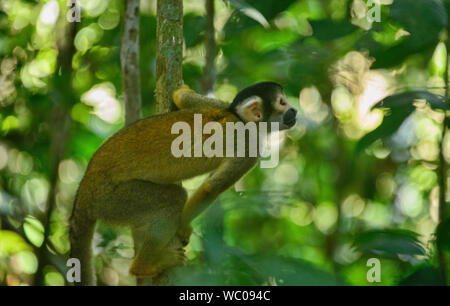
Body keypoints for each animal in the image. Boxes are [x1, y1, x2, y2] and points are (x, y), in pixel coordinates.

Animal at [70, 81, 298, 284]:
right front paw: (183, 227)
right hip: (111, 199)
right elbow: (210, 189)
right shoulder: (248, 146)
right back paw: (143, 266)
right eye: (282, 102)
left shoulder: (223, 106)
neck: (239, 119)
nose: (294, 110)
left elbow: (183, 98)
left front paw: (183, 90)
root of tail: (86, 186)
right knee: (172, 200)